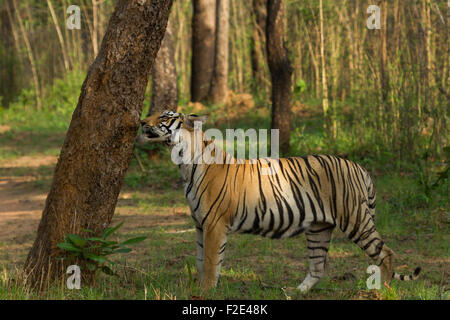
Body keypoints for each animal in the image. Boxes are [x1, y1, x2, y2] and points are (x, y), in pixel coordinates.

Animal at [139, 110, 420, 292]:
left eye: (163, 117)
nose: (141, 121)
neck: (184, 162)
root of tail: (359, 167)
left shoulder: (214, 225)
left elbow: (209, 262)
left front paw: (206, 291)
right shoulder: (200, 225)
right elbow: (200, 261)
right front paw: (199, 288)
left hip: (355, 220)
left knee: (385, 253)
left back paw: (382, 290)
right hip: (319, 228)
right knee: (318, 266)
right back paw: (296, 292)